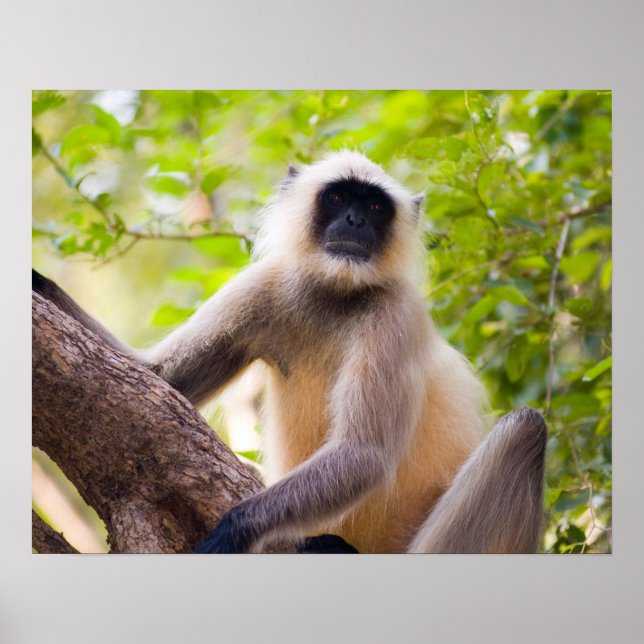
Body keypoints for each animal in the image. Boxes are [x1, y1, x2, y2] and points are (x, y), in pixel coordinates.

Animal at [33, 151, 546, 554]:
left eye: (375, 205)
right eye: (338, 199)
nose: (356, 221)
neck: (336, 294)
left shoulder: (396, 314)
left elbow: (364, 454)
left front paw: (234, 531)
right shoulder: (267, 283)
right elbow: (158, 379)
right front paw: (36, 281)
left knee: (526, 428)